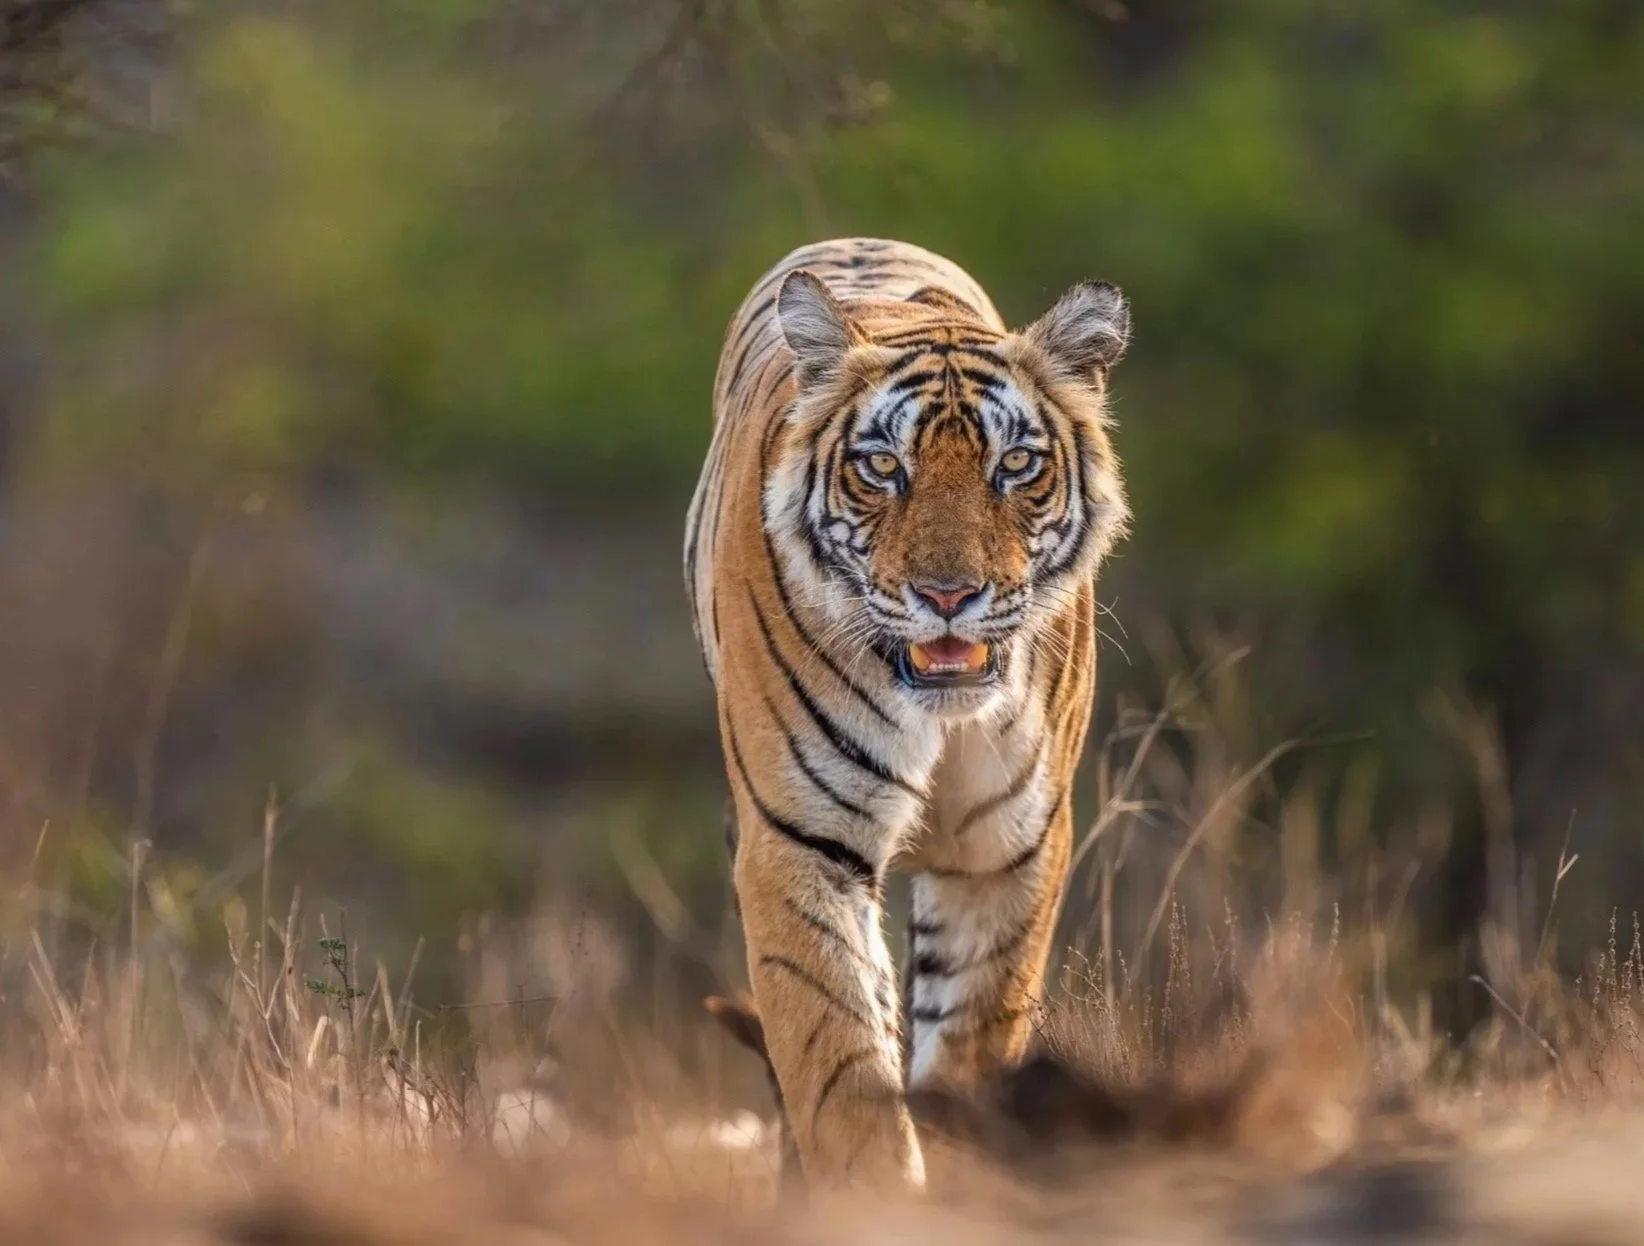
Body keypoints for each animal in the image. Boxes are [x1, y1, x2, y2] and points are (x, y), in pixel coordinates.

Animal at [683, 237, 1130, 1193]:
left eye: (1016, 466)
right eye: (883, 467)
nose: (950, 596)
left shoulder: (1003, 852)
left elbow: (969, 1044)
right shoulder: (800, 842)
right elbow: (842, 1072)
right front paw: (877, 1197)